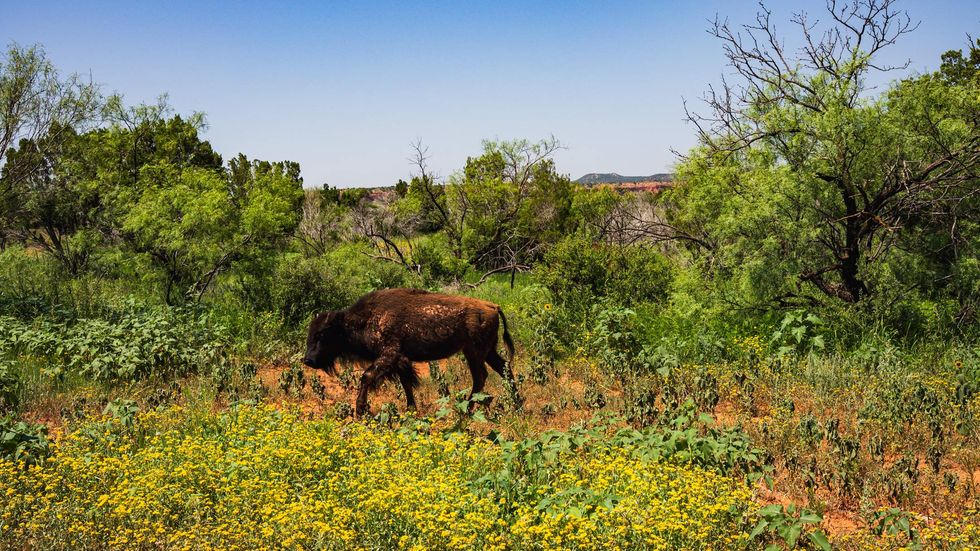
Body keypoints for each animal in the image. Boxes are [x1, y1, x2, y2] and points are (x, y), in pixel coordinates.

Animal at [302, 292, 520, 416]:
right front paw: (411, 409)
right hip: (485, 351)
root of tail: (493, 306)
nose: (308, 360)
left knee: (481, 376)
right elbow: (406, 383)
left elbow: (367, 376)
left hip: (474, 352)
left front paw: (360, 410)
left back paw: (467, 410)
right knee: (503, 368)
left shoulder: (389, 355)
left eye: (322, 334)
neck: (364, 319)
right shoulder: (400, 361)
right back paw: (517, 405)